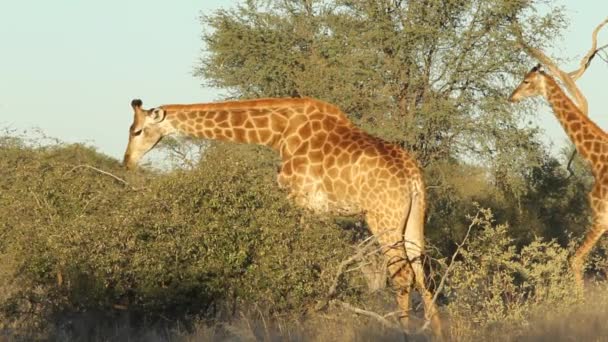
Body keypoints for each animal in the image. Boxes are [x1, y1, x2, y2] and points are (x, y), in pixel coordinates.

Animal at [122, 96, 442, 334]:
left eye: (136, 130)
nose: (127, 162)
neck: (278, 133)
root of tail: (413, 176)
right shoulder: (314, 208)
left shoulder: (300, 200)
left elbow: (301, 256)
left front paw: (304, 314)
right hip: (413, 218)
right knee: (422, 270)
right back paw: (436, 329)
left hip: (383, 218)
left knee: (402, 273)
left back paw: (403, 330)